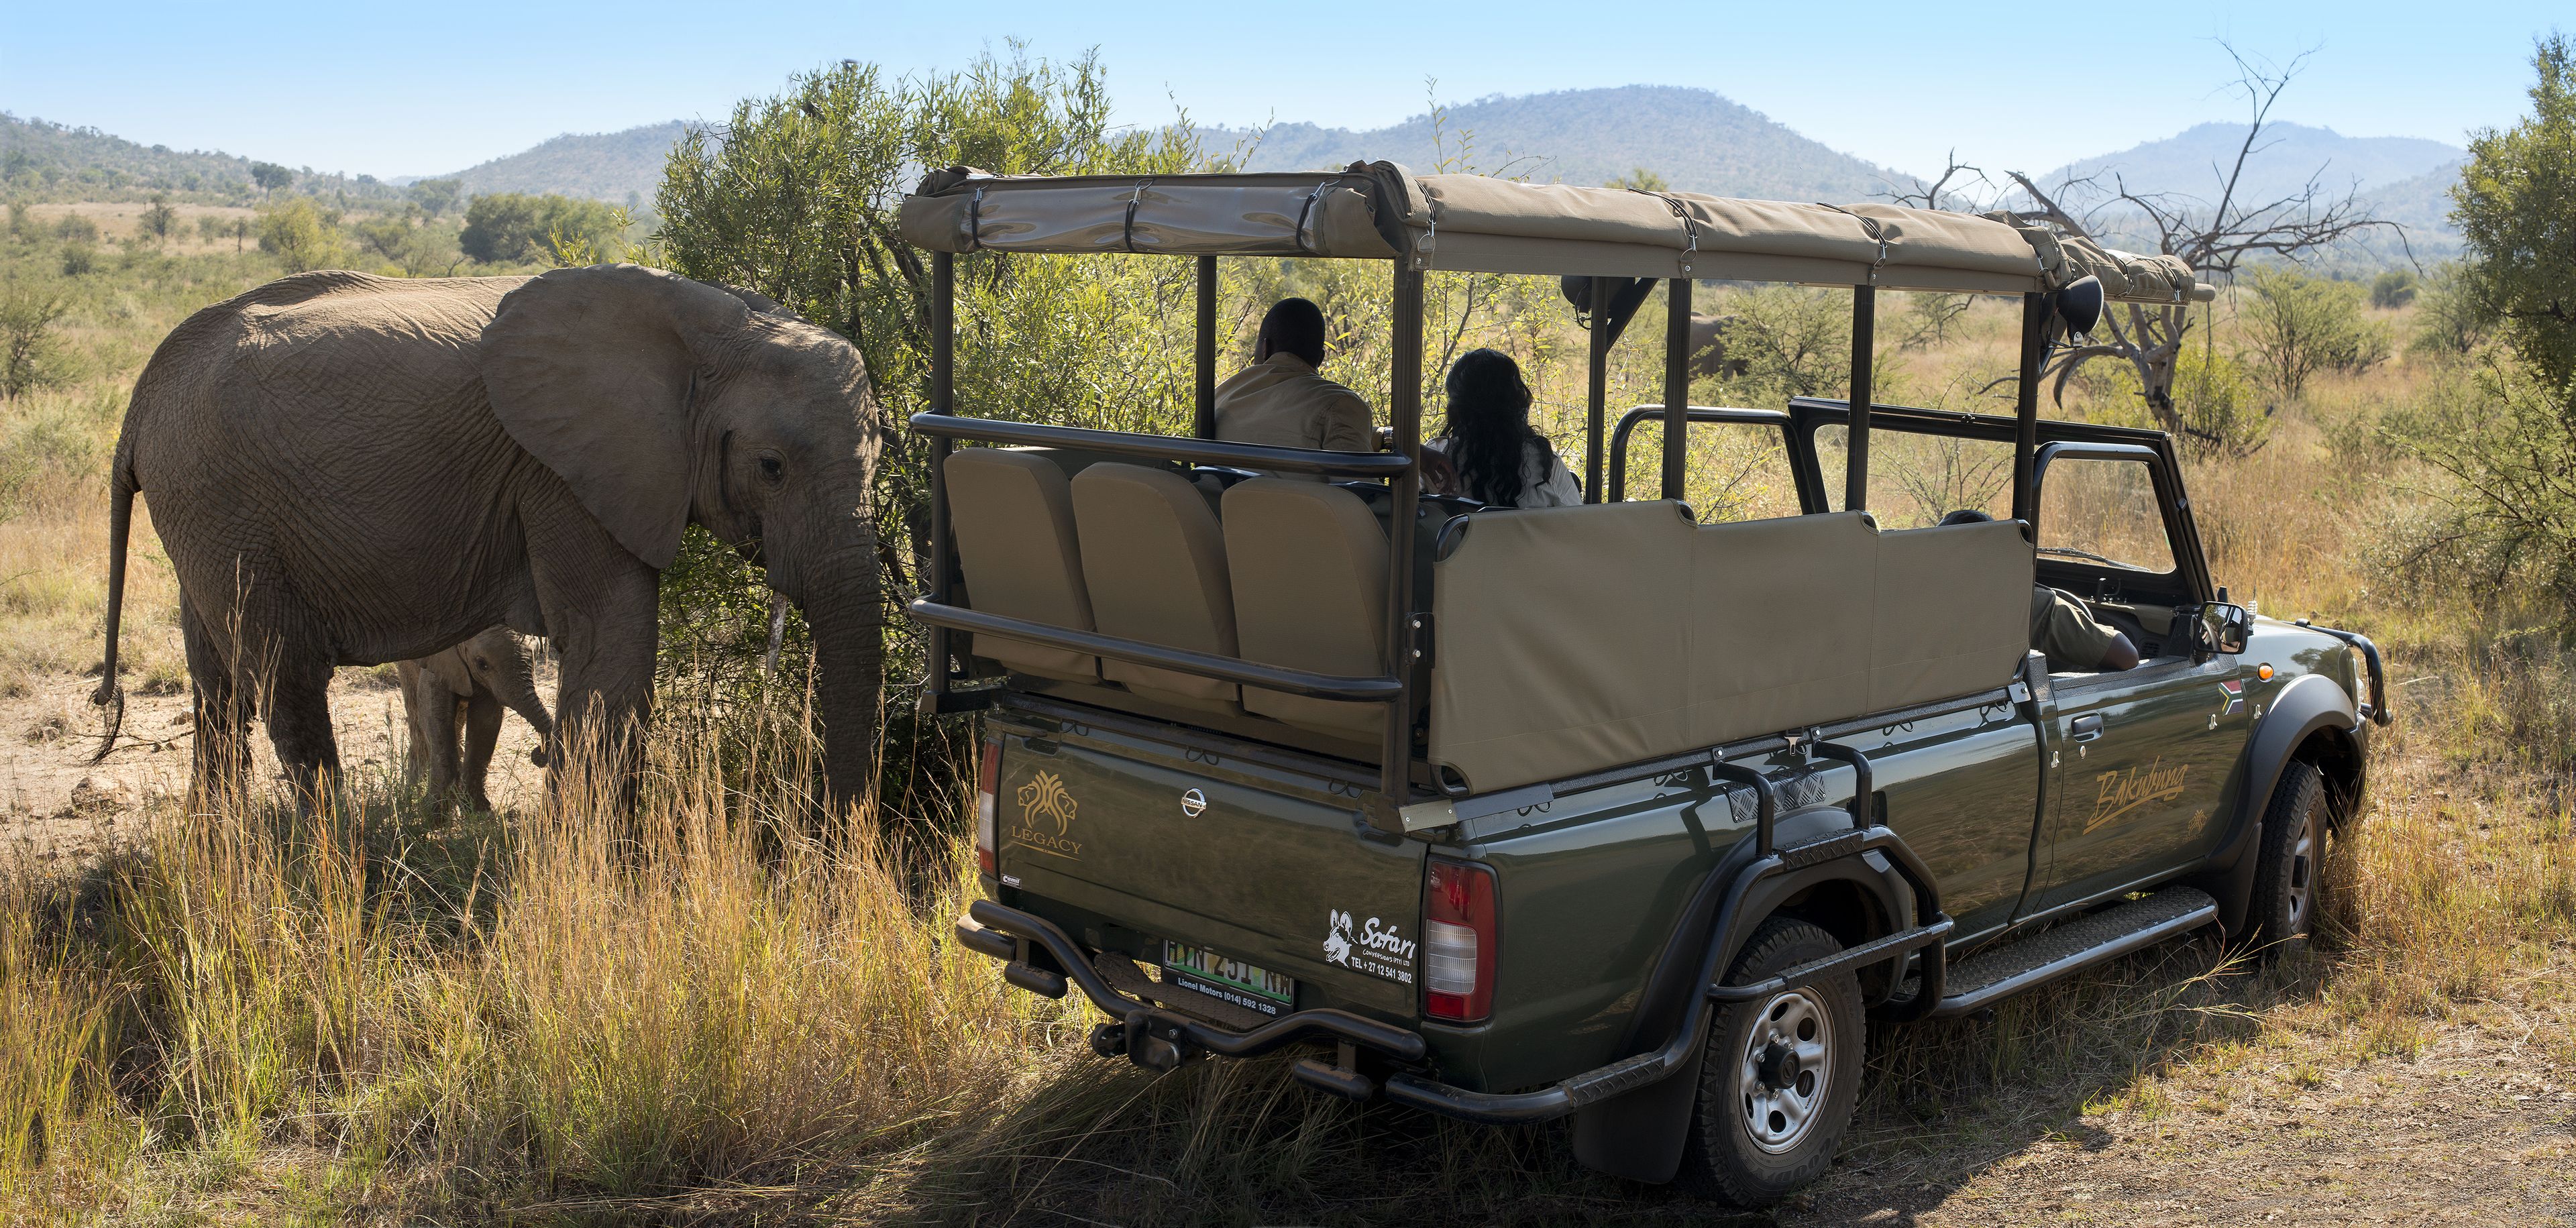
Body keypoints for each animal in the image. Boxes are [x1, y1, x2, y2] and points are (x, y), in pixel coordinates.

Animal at [397, 626, 553, 814]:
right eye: (482, 664)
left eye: (536, 657)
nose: (539, 753)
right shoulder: (437, 658)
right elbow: (434, 714)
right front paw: (434, 814)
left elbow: (485, 723)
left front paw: (478, 812)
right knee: (417, 717)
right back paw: (413, 791)